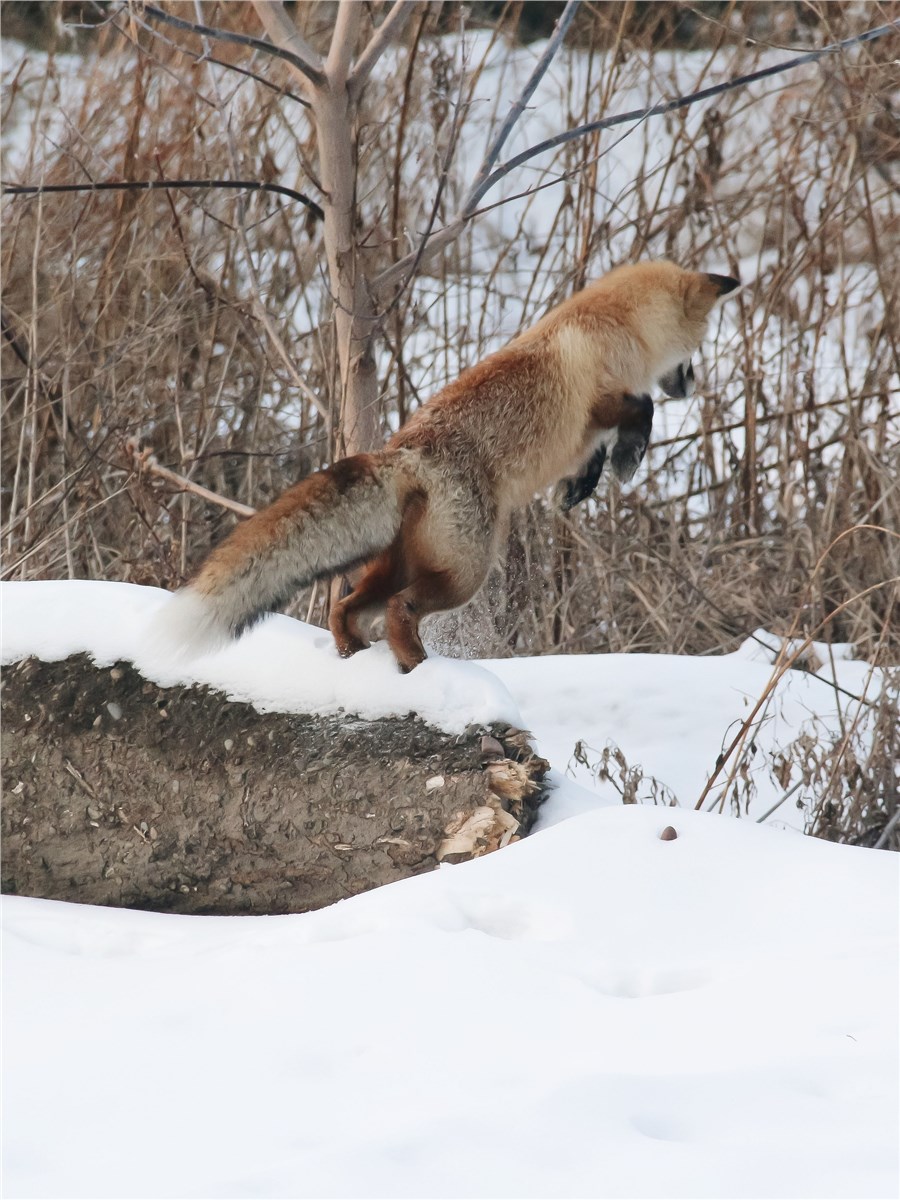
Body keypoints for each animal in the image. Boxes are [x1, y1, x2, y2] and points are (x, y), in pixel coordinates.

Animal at [158, 259, 739, 672]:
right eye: (696, 352)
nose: (692, 385)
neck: (613, 326)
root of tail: (406, 452)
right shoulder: (599, 403)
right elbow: (643, 408)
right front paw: (630, 456)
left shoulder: (588, 430)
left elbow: (593, 456)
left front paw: (583, 486)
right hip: (465, 573)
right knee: (401, 610)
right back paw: (419, 666)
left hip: (399, 566)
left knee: (344, 608)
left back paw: (354, 655)